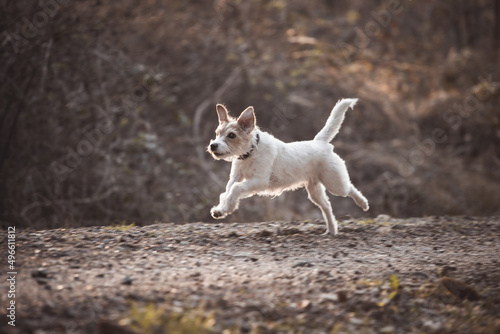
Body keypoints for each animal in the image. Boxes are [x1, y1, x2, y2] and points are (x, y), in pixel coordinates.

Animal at [206, 98, 368, 235]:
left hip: (335, 184)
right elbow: (226, 193)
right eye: (217, 133)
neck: (251, 152)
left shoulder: (259, 181)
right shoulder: (236, 177)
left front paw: (227, 207)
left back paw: (363, 203)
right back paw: (332, 230)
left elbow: (236, 189)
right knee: (327, 206)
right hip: (314, 191)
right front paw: (221, 209)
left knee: (350, 188)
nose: (213, 145)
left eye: (231, 135)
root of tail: (320, 142)